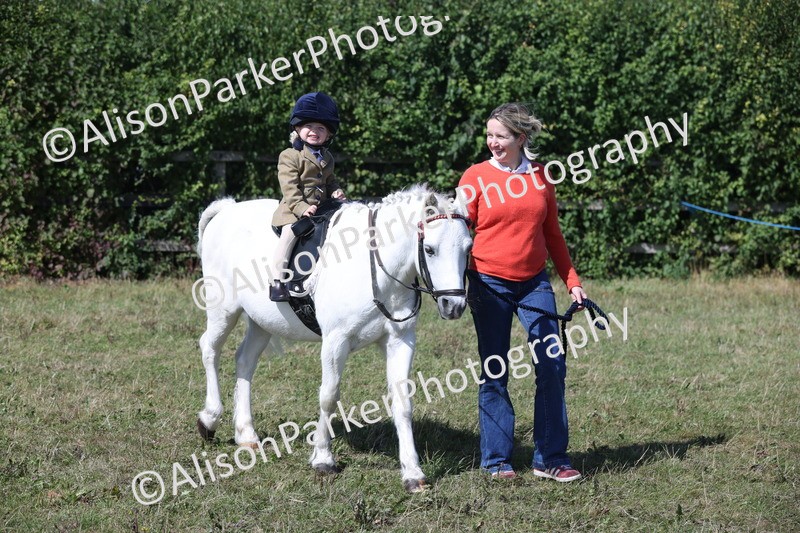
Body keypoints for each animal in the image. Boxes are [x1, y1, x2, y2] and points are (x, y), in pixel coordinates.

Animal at [195, 185, 473, 492]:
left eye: (468, 248)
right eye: (429, 249)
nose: (453, 305)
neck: (374, 267)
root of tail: (227, 209)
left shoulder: (401, 340)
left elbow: (402, 401)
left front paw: (412, 472)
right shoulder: (335, 342)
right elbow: (328, 396)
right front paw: (323, 459)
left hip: (260, 321)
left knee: (245, 361)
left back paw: (246, 434)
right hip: (223, 310)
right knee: (209, 349)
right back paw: (209, 419)